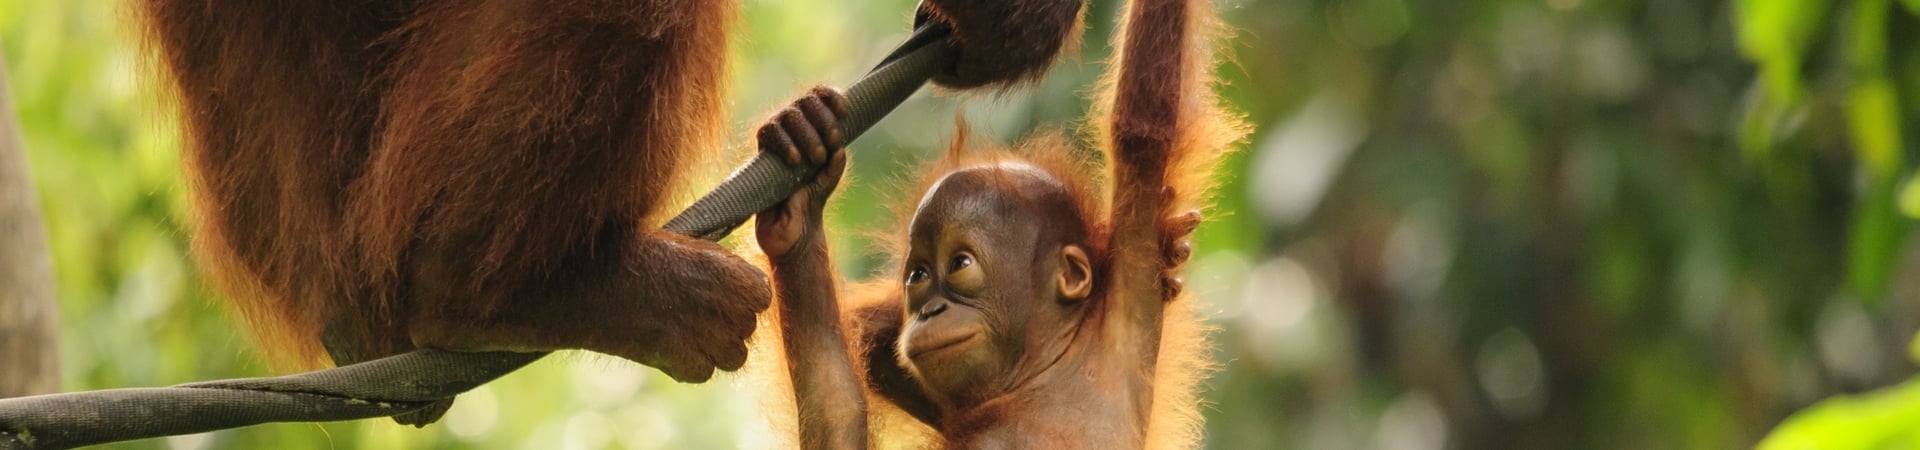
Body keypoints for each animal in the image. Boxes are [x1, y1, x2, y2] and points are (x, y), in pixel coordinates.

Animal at [750, 0, 1243, 445]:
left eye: (961, 265)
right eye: (918, 276)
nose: (930, 310)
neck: (1038, 376)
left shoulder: (1127, 302)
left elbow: (1143, 127)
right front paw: (798, 207)